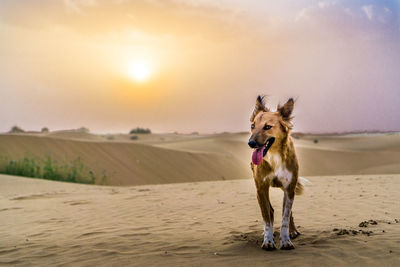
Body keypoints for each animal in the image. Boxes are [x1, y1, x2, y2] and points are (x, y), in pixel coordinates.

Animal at [247, 96, 306, 251]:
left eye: (267, 127)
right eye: (252, 126)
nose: (251, 143)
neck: (274, 157)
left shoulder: (289, 188)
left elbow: (285, 217)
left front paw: (286, 240)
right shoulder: (261, 188)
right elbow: (267, 217)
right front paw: (268, 240)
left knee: (289, 213)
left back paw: (292, 231)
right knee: (271, 211)